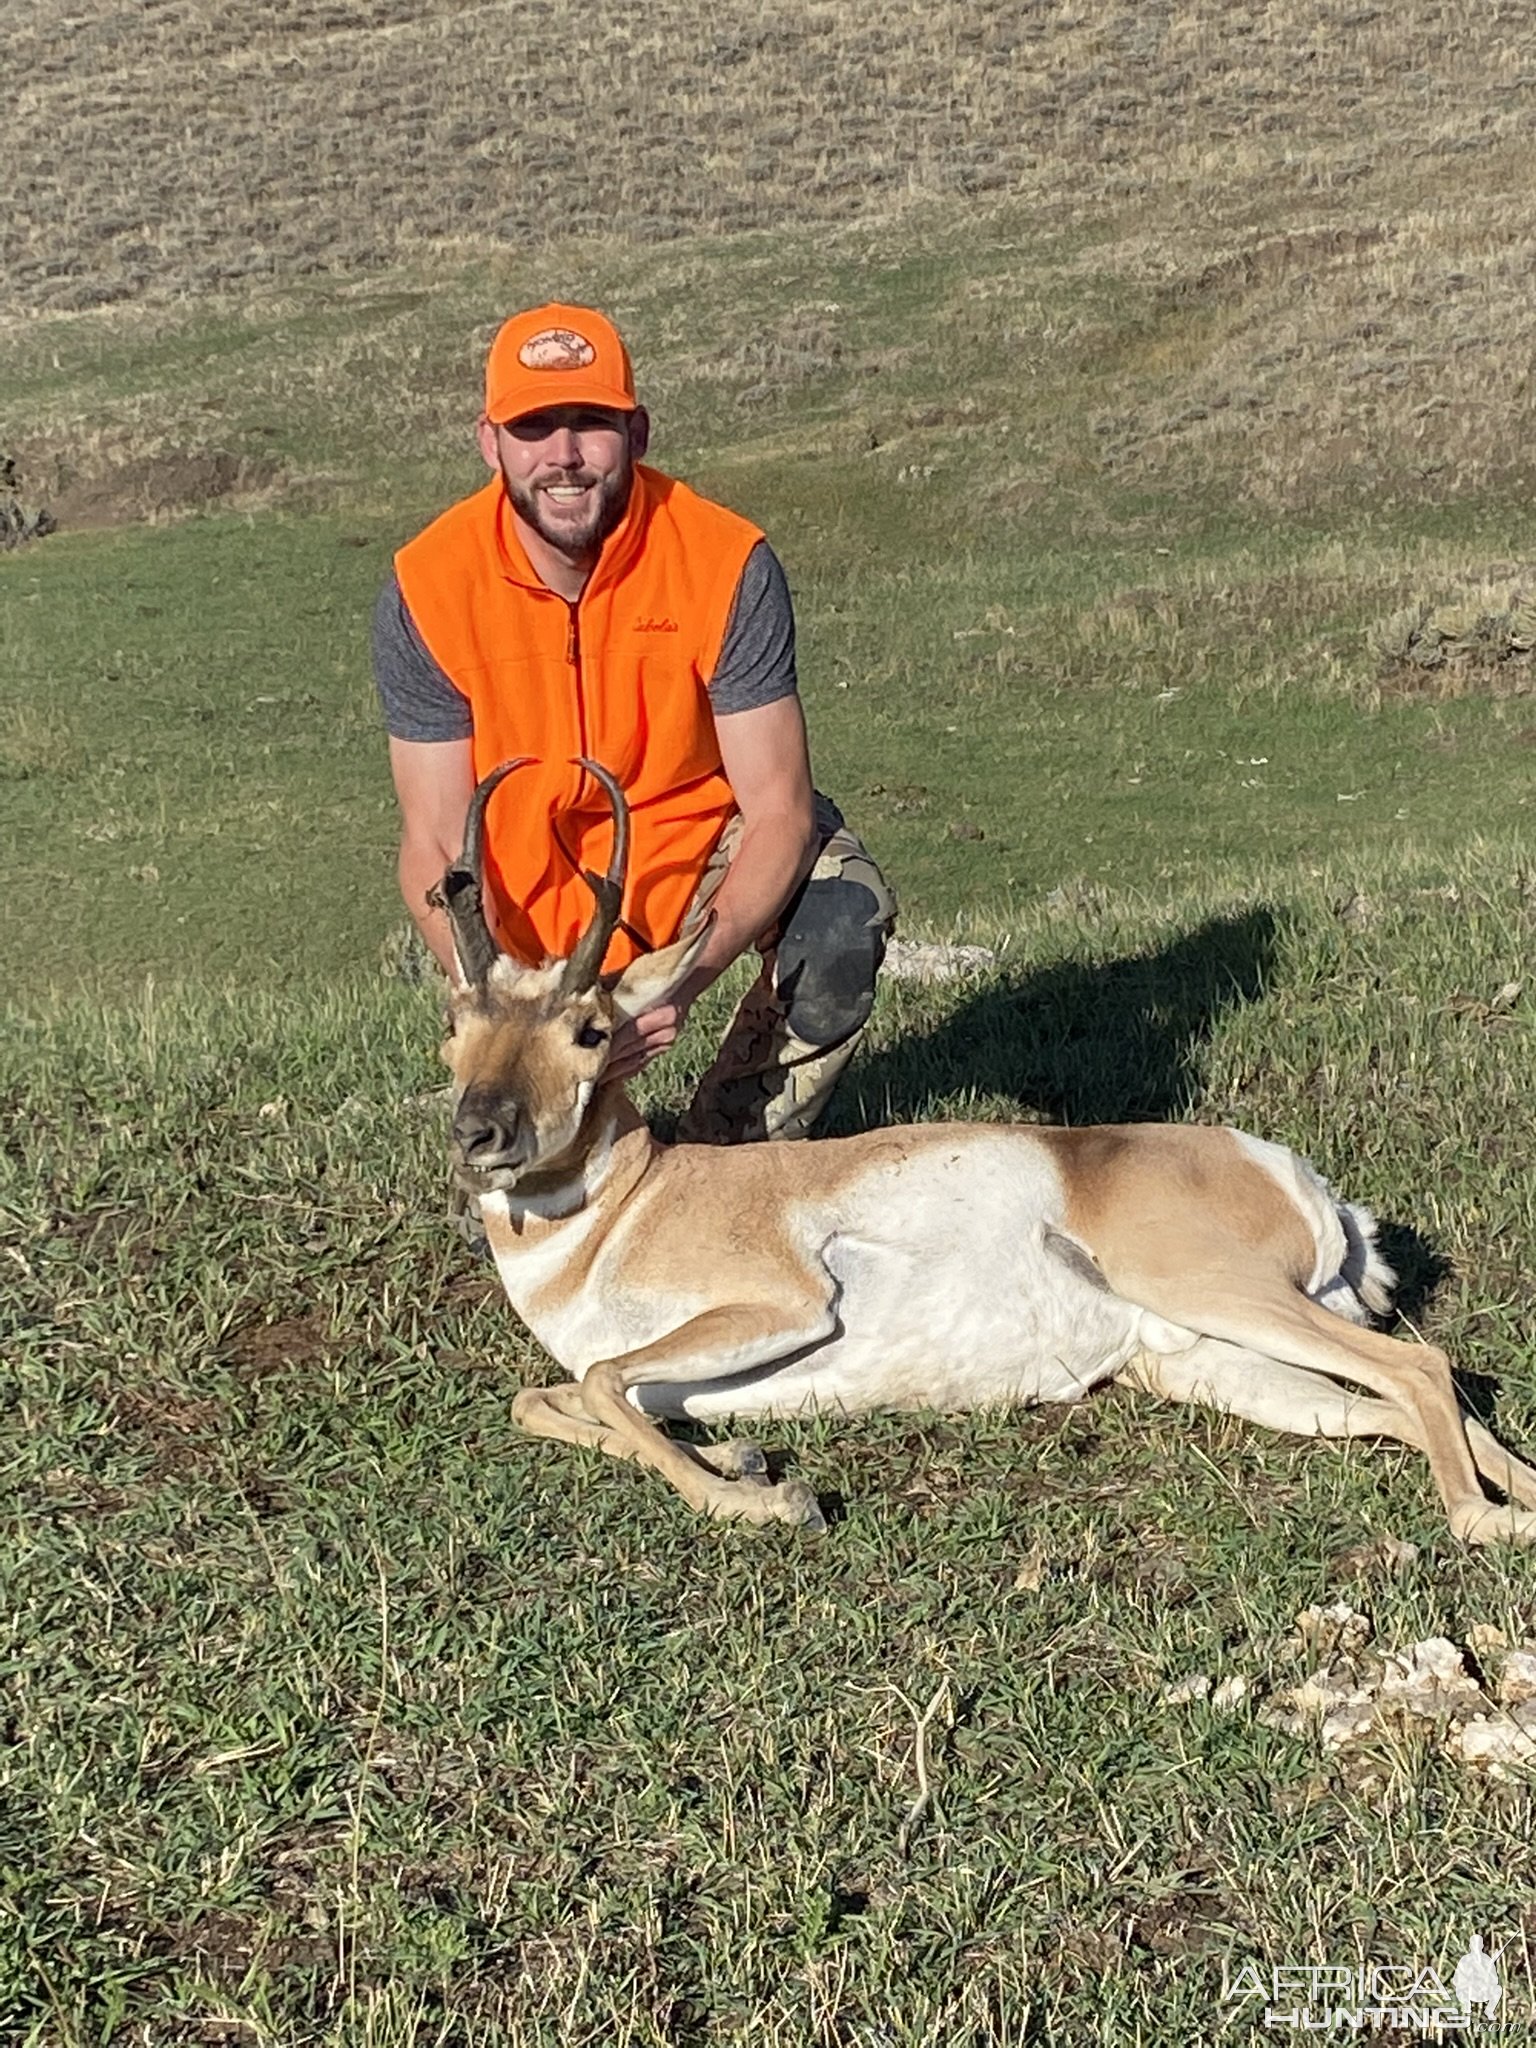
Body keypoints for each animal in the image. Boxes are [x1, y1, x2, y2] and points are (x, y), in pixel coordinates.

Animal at [430, 761, 1536, 1540]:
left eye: (590, 1029)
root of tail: (1283, 1169)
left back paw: (1481, 1520)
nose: (480, 1131)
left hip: (1216, 1292)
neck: (632, 1206)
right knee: (1407, 1400)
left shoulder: (784, 1304)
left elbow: (600, 1381)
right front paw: (739, 1458)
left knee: (1422, 1367)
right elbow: (550, 1396)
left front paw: (766, 1497)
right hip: (1223, 1364)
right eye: (457, 1017)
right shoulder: (644, 1372)